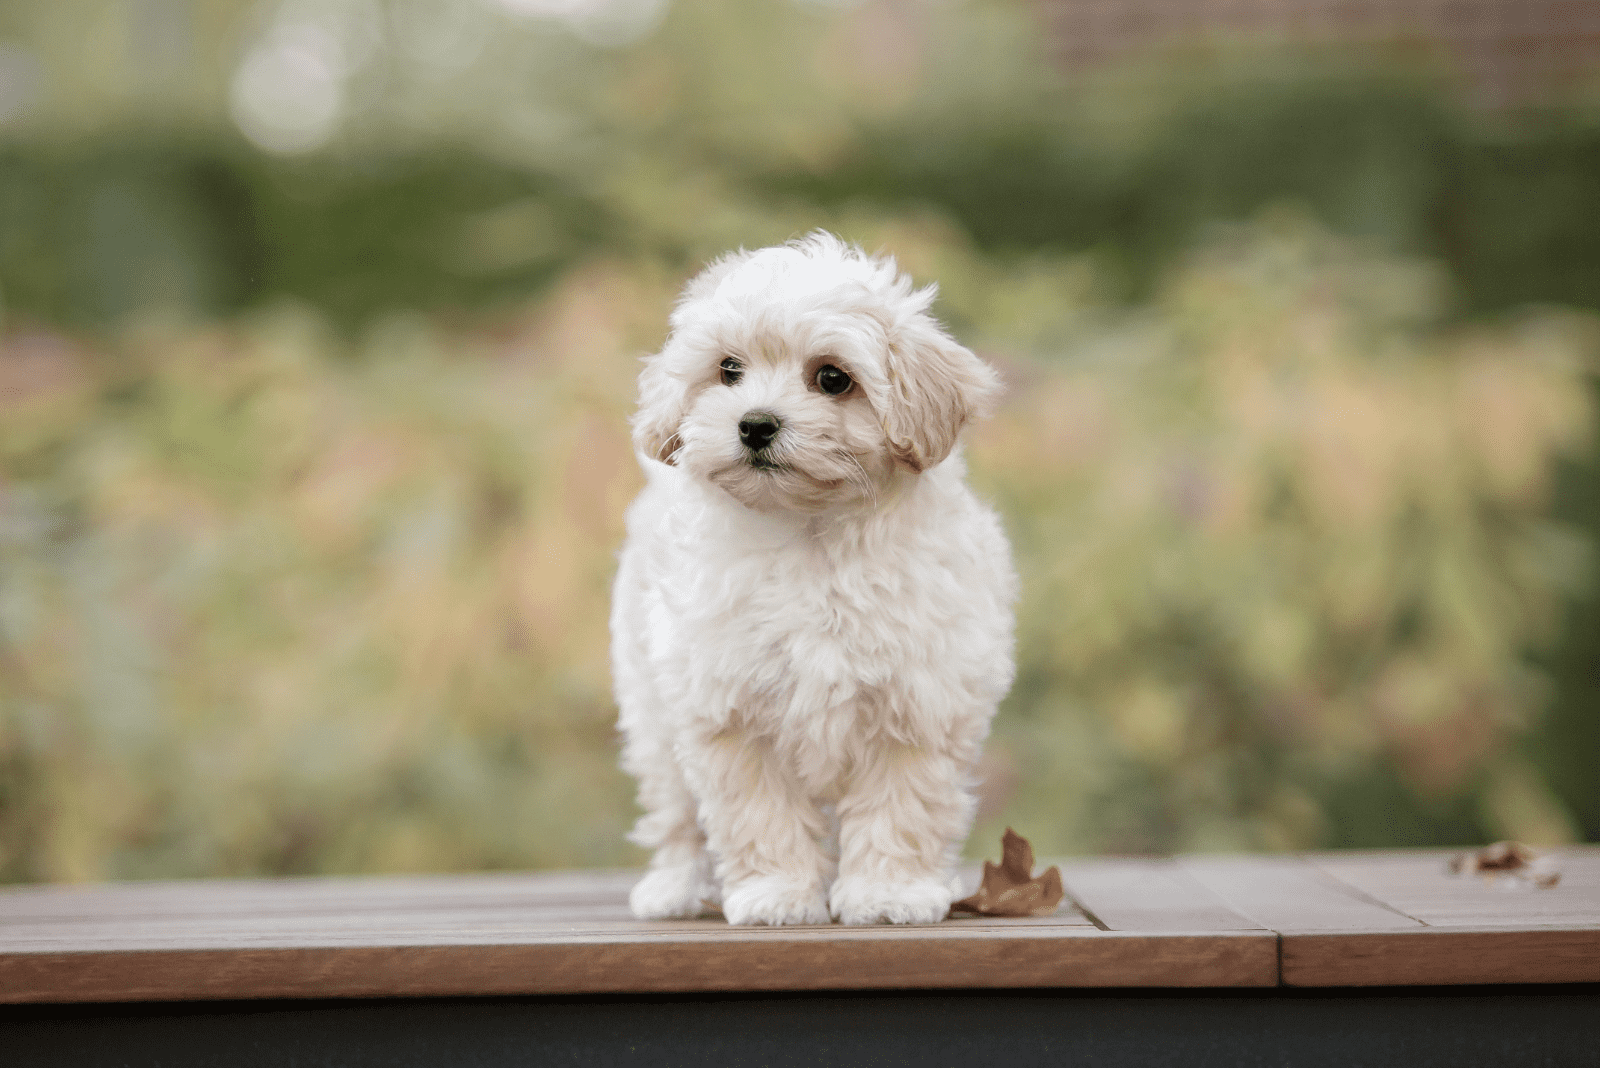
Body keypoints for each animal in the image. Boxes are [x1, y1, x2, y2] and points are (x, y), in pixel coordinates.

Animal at [611, 233, 1011, 927]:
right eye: (729, 370)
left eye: (832, 378)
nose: (754, 424)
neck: (811, 538)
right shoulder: (731, 710)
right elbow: (759, 815)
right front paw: (777, 893)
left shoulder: (918, 702)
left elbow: (901, 808)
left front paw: (888, 893)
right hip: (652, 712)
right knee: (675, 811)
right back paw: (674, 887)